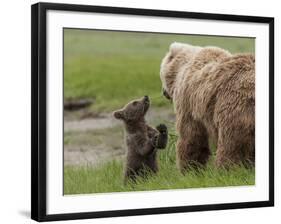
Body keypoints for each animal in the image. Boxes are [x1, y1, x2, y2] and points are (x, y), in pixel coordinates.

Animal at [160, 43, 254, 172]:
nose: (163, 92)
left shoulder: (188, 102)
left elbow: (191, 136)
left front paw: (189, 168)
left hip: (233, 105)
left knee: (231, 144)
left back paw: (225, 169)